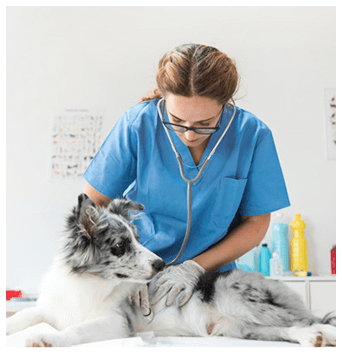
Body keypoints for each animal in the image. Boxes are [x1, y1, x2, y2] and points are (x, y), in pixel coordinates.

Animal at [6, 194, 336, 346]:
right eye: (120, 246)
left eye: (139, 239)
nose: (162, 265)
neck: (89, 282)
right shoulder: (50, 308)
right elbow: (24, 315)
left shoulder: (117, 323)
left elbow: (76, 330)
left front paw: (48, 340)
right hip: (240, 329)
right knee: (291, 328)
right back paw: (314, 338)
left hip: (239, 300)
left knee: (310, 319)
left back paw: (322, 333)